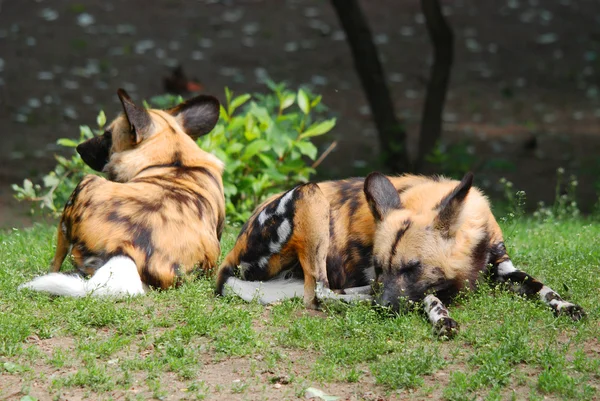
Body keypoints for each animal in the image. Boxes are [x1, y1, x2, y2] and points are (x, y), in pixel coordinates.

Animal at [20, 90, 225, 296]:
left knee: (56, 261)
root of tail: (125, 250)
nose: (79, 148)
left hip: (85, 184)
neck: (174, 161)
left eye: (107, 134)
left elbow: (55, 260)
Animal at [217, 171, 584, 334]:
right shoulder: (412, 288)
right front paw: (442, 317)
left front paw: (566, 305)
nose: (382, 306)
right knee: (319, 292)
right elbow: (430, 297)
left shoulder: (503, 267)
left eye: (411, 268)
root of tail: (227, 260)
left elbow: (544, 288)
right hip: (310, 195)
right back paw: (360, 295)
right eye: (379, 267)